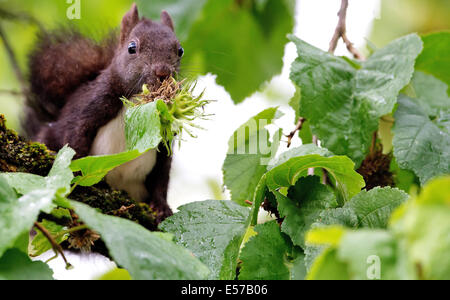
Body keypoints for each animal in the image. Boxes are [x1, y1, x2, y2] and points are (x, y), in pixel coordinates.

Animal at [23, 3, 183, 221]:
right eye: (132, 48)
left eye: (180, 50)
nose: (163, 73)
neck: (139, 103)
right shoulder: (90, 107)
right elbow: (75, 140)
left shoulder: (165, 135)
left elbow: (162, 175)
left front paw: (161, 207)